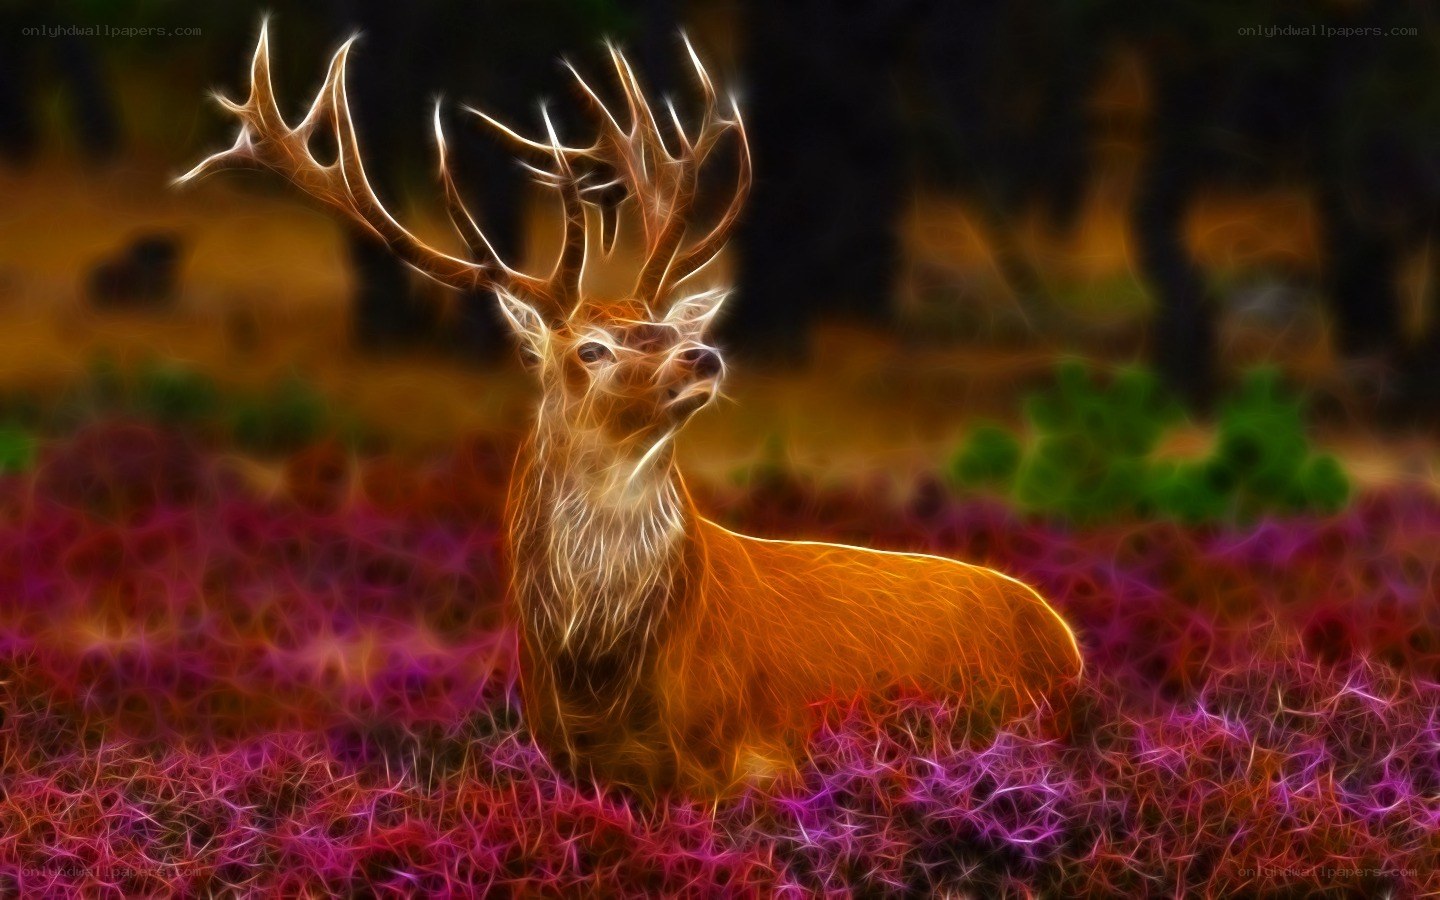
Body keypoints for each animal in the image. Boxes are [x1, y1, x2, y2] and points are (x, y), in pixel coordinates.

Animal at [179, 22, 1084, 798]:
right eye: (590, 349)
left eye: (667, 328)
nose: (703, 355)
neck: (602, 683)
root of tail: (1069, 642)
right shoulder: (572, 762)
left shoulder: (746, 757)